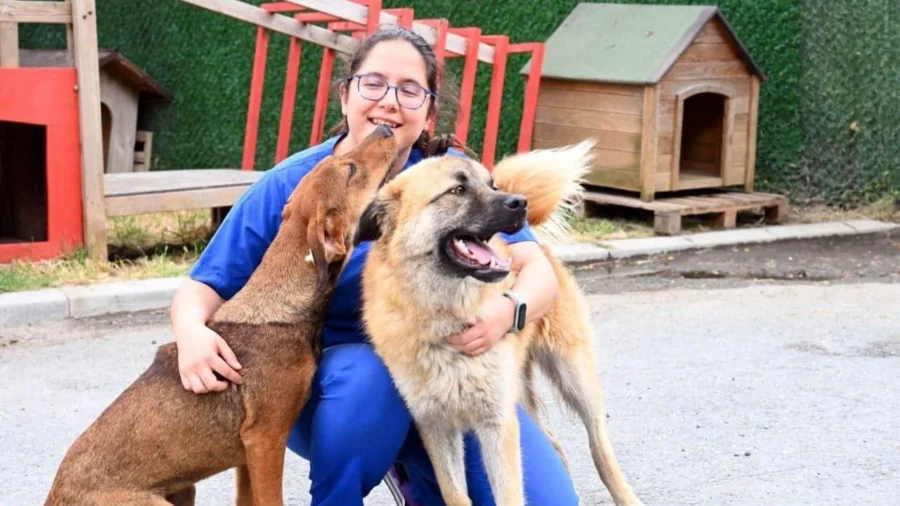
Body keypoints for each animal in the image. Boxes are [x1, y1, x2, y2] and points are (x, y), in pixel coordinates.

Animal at [43, 124, 398, 504]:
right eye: (350, 169)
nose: (385, 127)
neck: (282, 305)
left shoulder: (247, 457)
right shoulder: (265, 440)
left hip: (184, 490)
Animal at [356, 140, 644, 506]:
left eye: (491, 185)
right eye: (458, 190)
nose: (519, 202)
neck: (446, 320)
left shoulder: (497, 423)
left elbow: (509, 495)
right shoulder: (436, 426)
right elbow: (455, 495)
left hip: (574, 378)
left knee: (599, 447)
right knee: (555, 444)